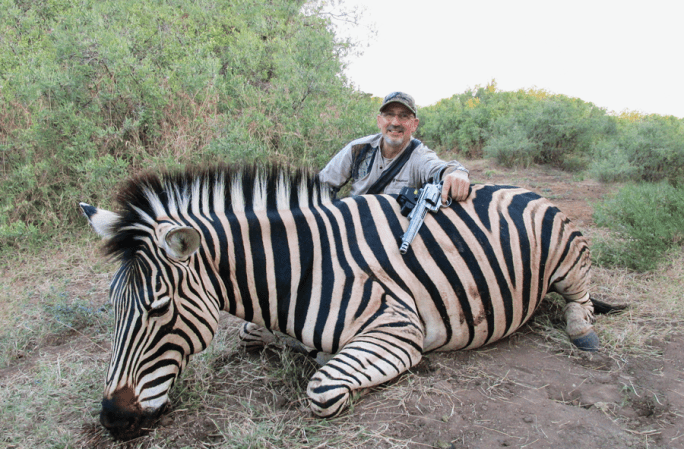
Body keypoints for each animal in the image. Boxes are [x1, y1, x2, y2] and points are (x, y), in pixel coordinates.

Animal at [79, 164, 616, 438]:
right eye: (113, 306)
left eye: (159, 309)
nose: (113, 420)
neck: (299, 268)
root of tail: (527, 188)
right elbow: (253, 332)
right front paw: (287, 342)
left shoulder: (398, 330)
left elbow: (322, 388)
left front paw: (314, 357)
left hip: (568, 260)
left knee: (582, 299)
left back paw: (583, 333)